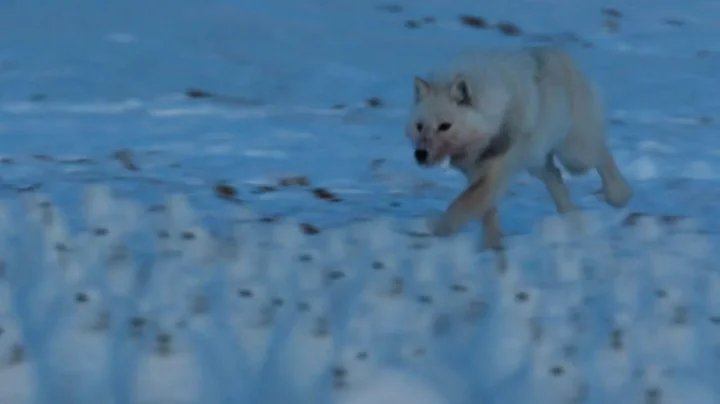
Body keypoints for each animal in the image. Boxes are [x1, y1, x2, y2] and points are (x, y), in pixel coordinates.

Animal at [405, 46, 632, 249]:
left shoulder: (493, 173)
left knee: (602, 154)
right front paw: (492, 248)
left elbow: (459, 208)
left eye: (445, 126)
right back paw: (572, 220)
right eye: (419, 126)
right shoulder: (478, 174)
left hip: (575, 157)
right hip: (538, 162)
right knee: (557, 178)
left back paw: (618, 195)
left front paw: (435, 236)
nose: (420, 154)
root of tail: (562, 54)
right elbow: (487, 214)